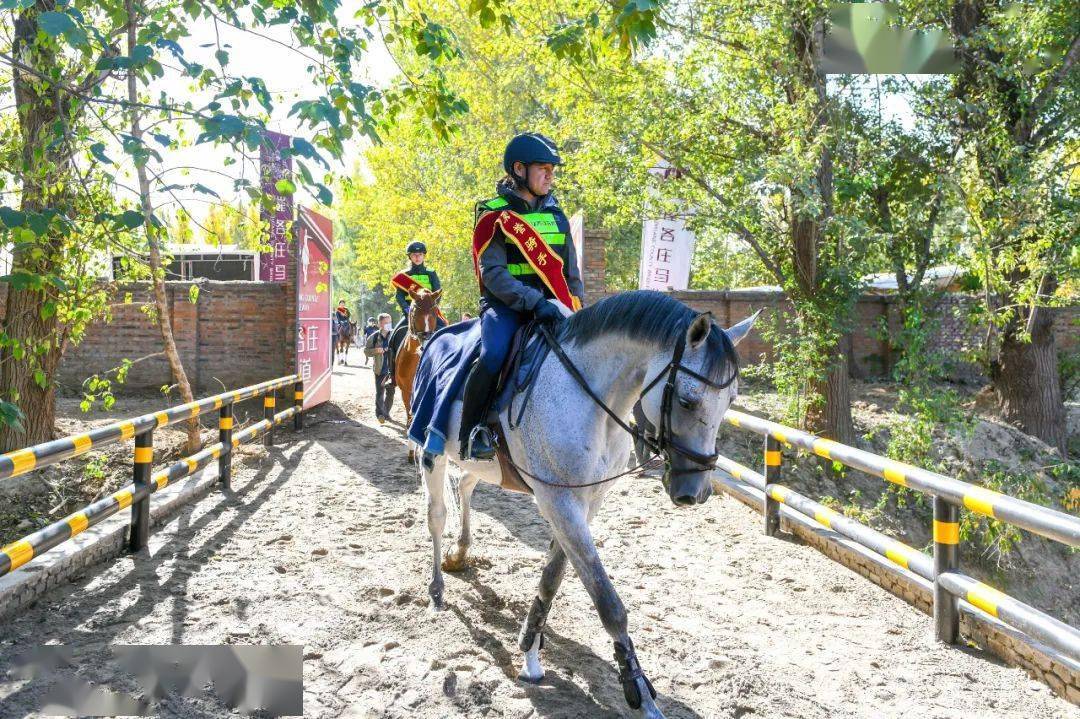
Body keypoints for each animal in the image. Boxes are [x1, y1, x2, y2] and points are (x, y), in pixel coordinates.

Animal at [395, 289, 440, 455]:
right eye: (414, 312)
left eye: (435, 312)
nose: (426, 339)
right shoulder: (406, 392)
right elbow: (410, 420)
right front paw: (411, 452)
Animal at [416, 291, 756, 716]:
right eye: (687, 400)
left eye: (731, 400)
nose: (694, 491)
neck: (591, 400)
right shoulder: (559, 500)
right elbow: (607, 601)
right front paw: (638, 690)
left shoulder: (586, 500)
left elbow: (553, 576)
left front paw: (530, 648)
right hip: (431, 452)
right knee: (436, 516)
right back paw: (436, 590)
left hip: (481, 464)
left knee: (464, 486)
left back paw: (460, 554)